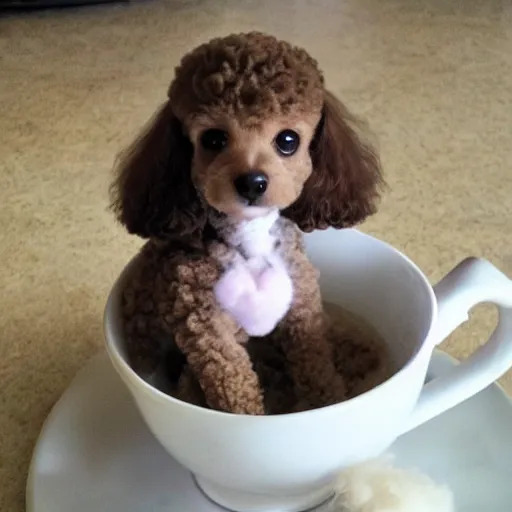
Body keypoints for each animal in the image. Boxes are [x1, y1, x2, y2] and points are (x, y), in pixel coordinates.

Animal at [111, 31, 384, 416]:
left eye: (288, 140)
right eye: (213, 139)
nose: (252, 182)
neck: (249, 241)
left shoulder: (301, 305)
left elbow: (317, 366)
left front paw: (329, 403)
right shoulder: (210, 334)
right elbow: (236, 395)